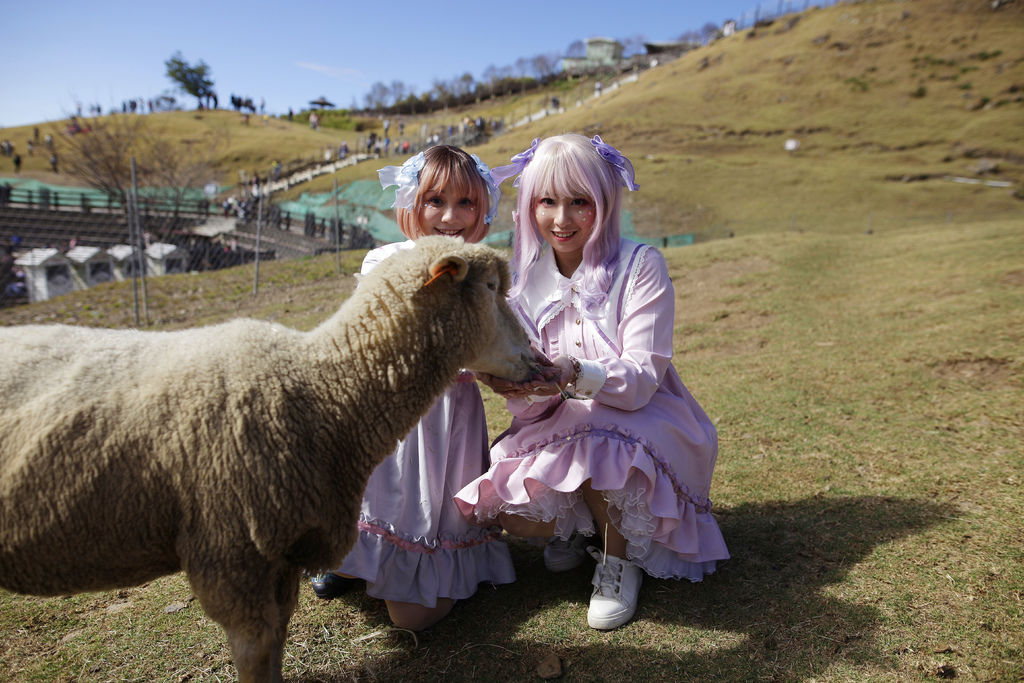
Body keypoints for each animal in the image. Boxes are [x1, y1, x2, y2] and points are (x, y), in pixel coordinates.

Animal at [2, 236, 536, 683]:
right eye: (491, 288)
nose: (535, 357)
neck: (320, 391)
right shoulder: (232, 558)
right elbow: (257, 654)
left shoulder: (282, 553)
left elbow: (278, 642)